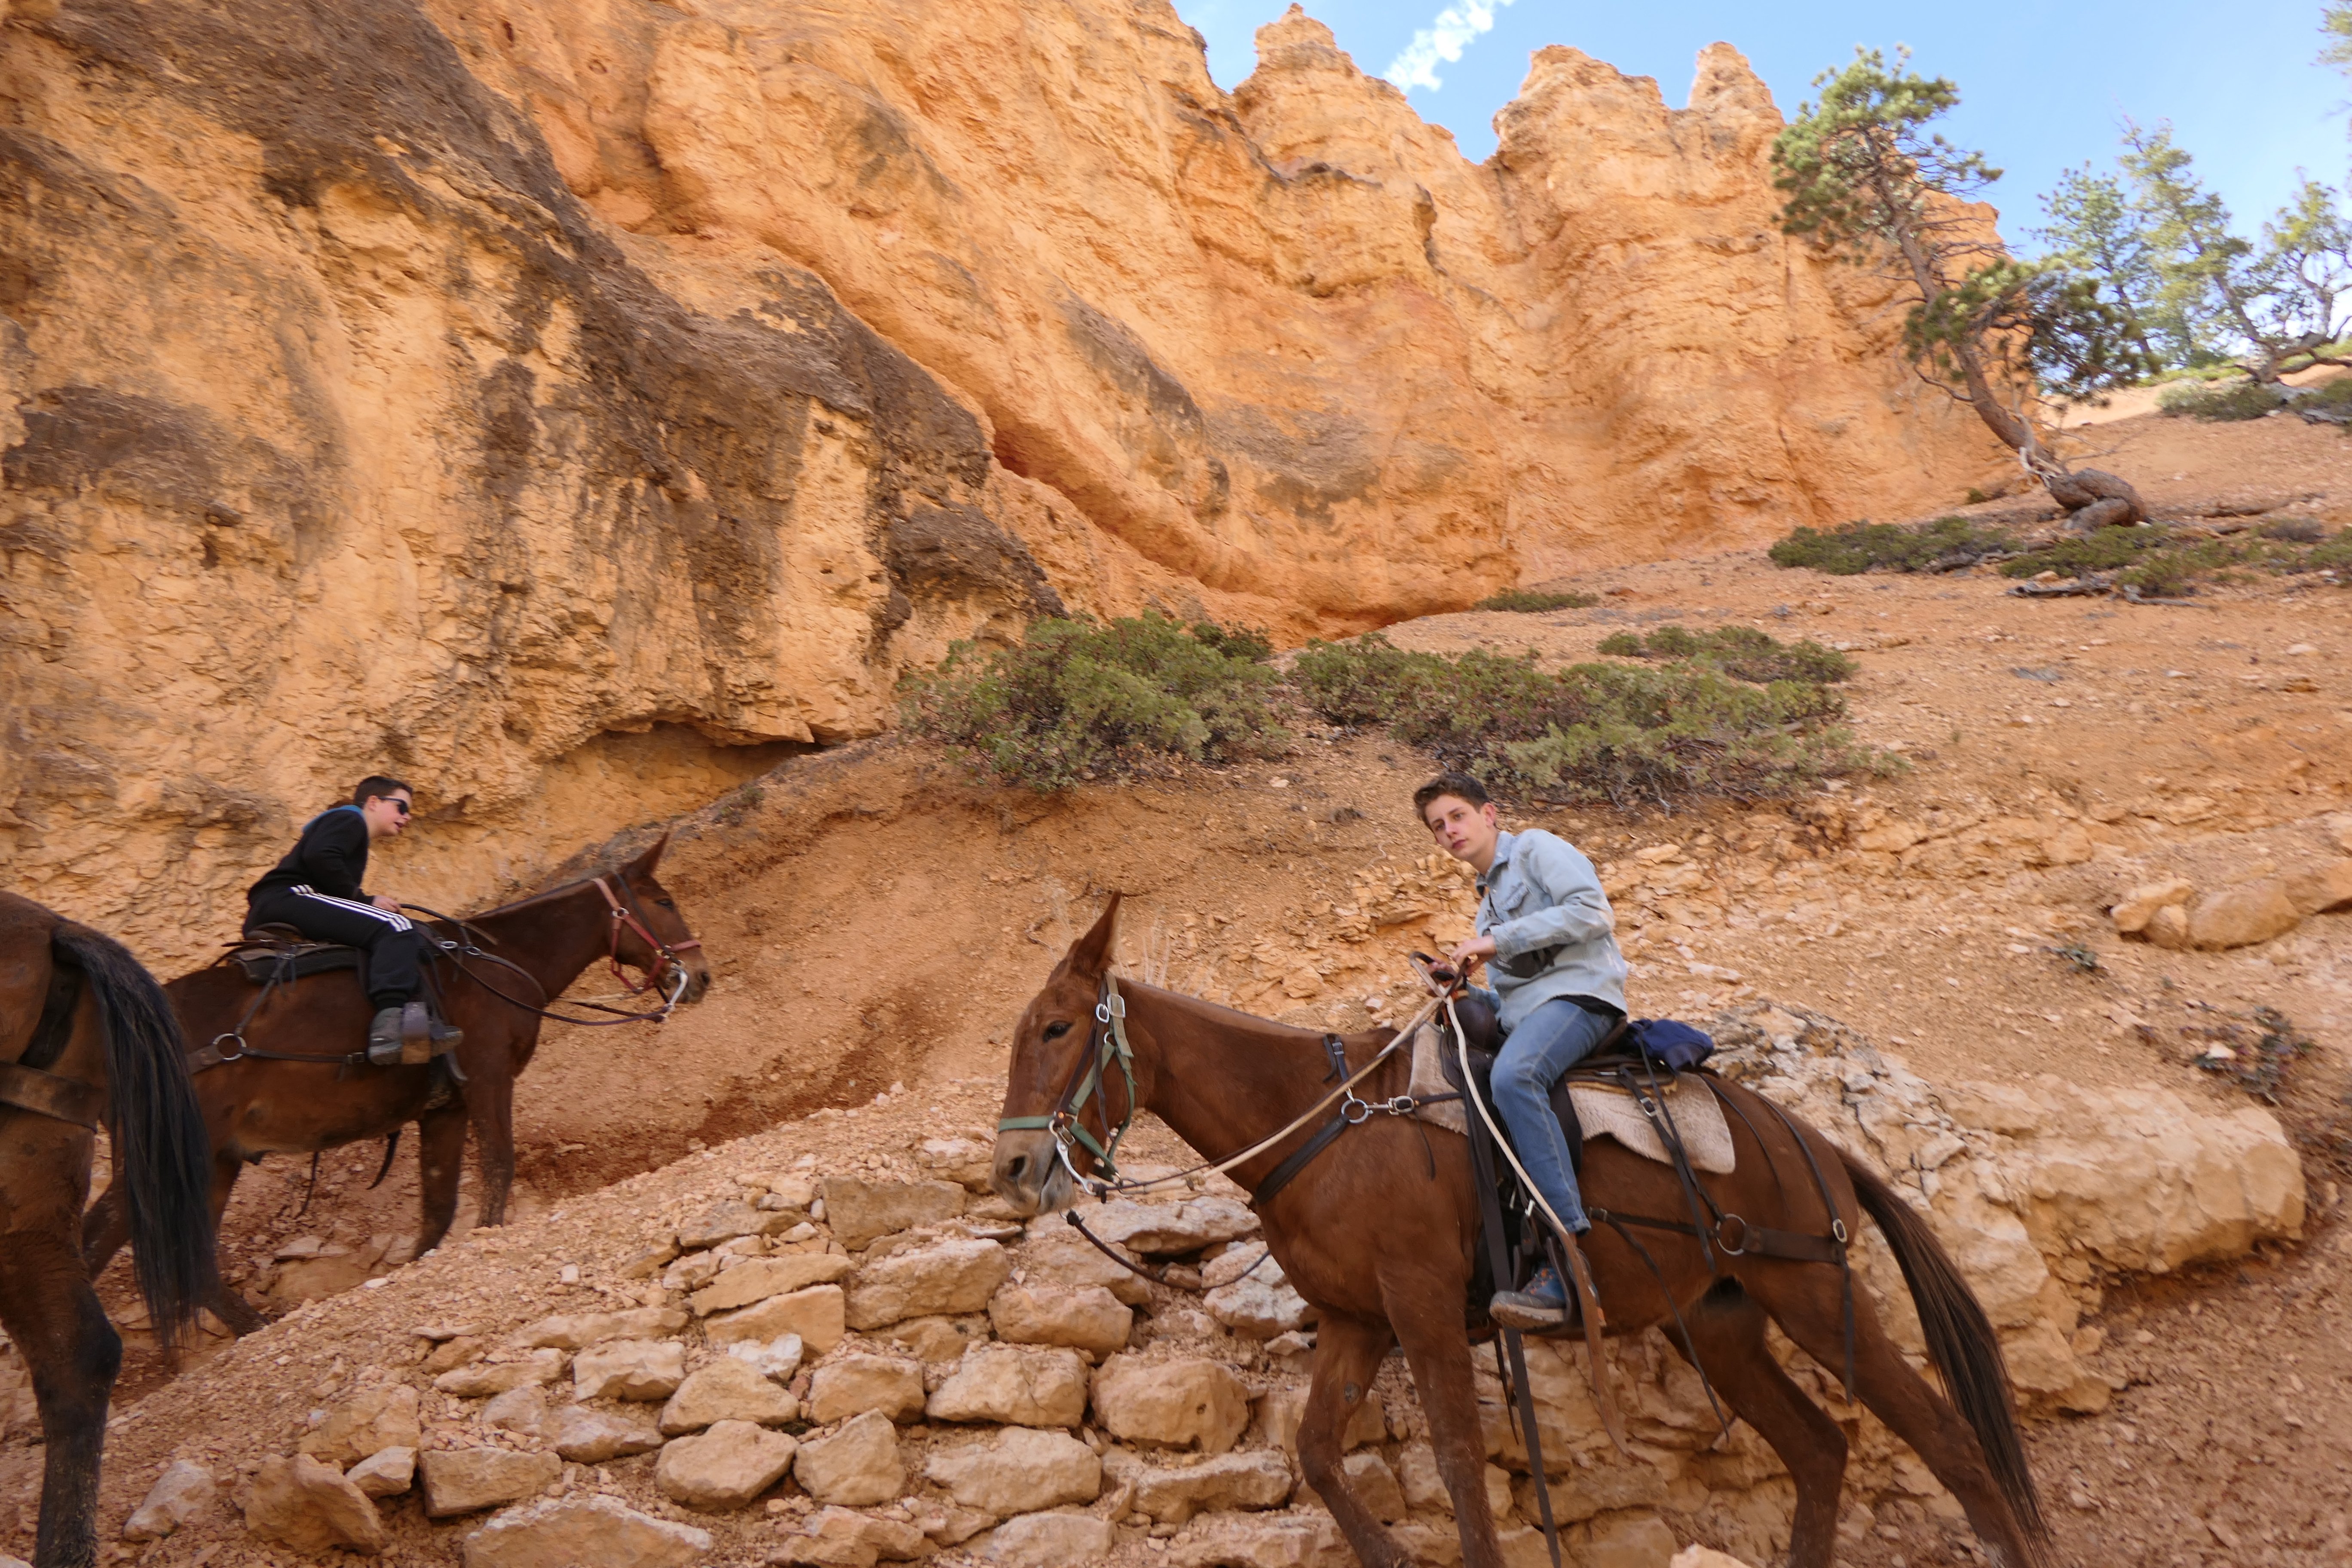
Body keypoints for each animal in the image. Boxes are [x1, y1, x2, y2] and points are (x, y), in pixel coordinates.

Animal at [81, 835, 708, 1336]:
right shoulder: (487, 1079)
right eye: (665, 902)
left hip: (214, 1160)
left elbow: (439, 1207)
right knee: (95, 1242)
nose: (700, 976)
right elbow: (499, 1165)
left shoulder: (444, 1109)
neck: (498, 961)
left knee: (197, 1265)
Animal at [991, 897, 2049, 1568]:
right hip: (1721, 1323)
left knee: (1949, 1441)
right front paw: (1389, 1554)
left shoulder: (1419, 1305)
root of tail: (1817, 1143)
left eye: (1056, 1029)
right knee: (1821, 1449)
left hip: (1815, 1291)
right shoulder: (1357, 1321)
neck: (1329, 1122)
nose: (1012, 1169)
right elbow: (1319, 1453)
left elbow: (1460, 1464)